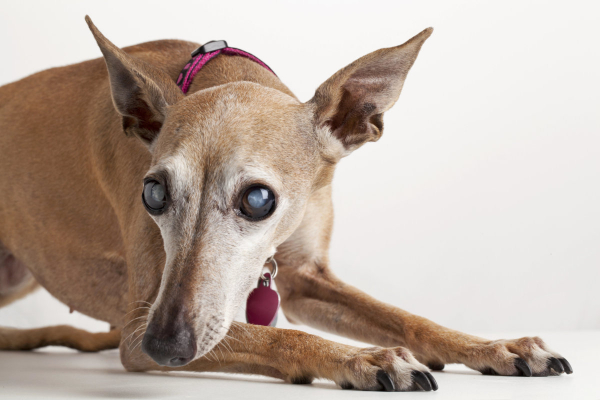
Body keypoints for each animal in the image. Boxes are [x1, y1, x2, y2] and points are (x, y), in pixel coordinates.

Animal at [0, 17, 572, 392]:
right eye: (153, 193)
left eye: (258, 199)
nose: (162, 347)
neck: (217, 73)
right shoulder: (145, 313)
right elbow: (275, 337)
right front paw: (360, 357)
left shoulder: (304, 276)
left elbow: (409, 320)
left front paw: (496, 347)